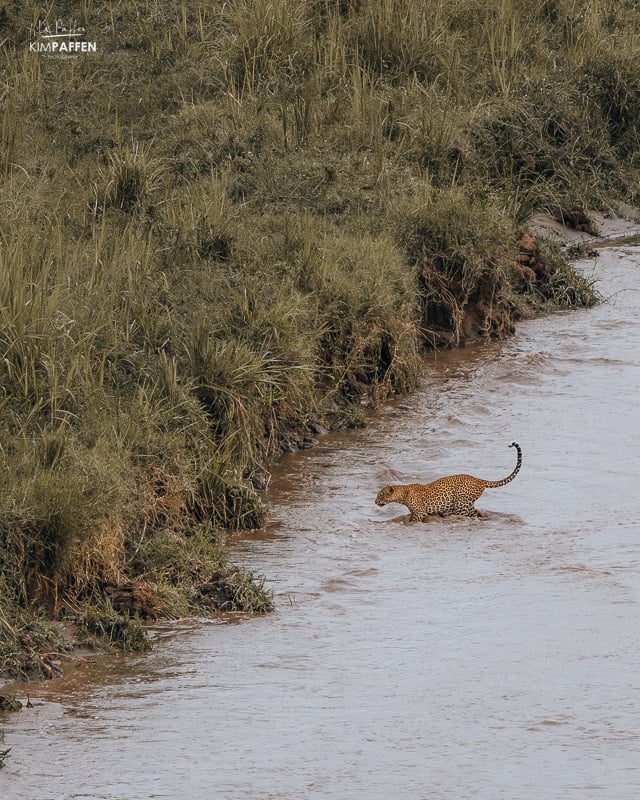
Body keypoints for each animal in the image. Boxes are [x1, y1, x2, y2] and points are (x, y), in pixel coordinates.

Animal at [376, 440, 520, 520]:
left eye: (381, 495)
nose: (375, 502)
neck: (403, 495)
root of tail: (478, 480)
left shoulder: (419, 513)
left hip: (461, 504)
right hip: (467, 504)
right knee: (474, 513)